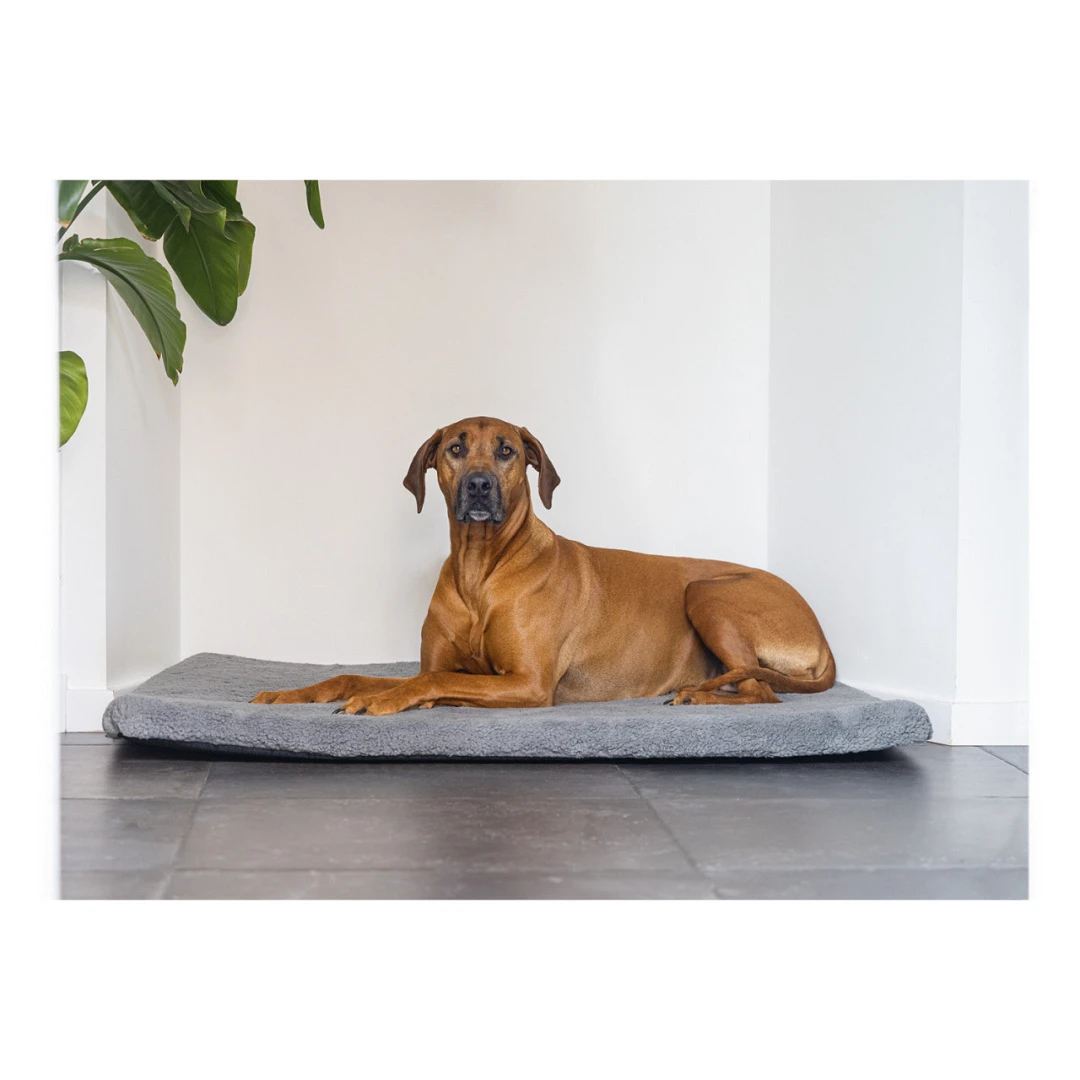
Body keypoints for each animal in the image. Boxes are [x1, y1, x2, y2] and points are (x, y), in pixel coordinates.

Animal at [251, 416, 835, 715]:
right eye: (455, 448)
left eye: (507, 450)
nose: (479, 486)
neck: (481, 572)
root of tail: (822, 635)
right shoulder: (447, 664)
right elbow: (356, 674)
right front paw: (292, 694)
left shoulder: (530, 683)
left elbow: (424, 682)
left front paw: (387, 700)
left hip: (706, 591)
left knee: (763, 691)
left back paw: (696, 694)